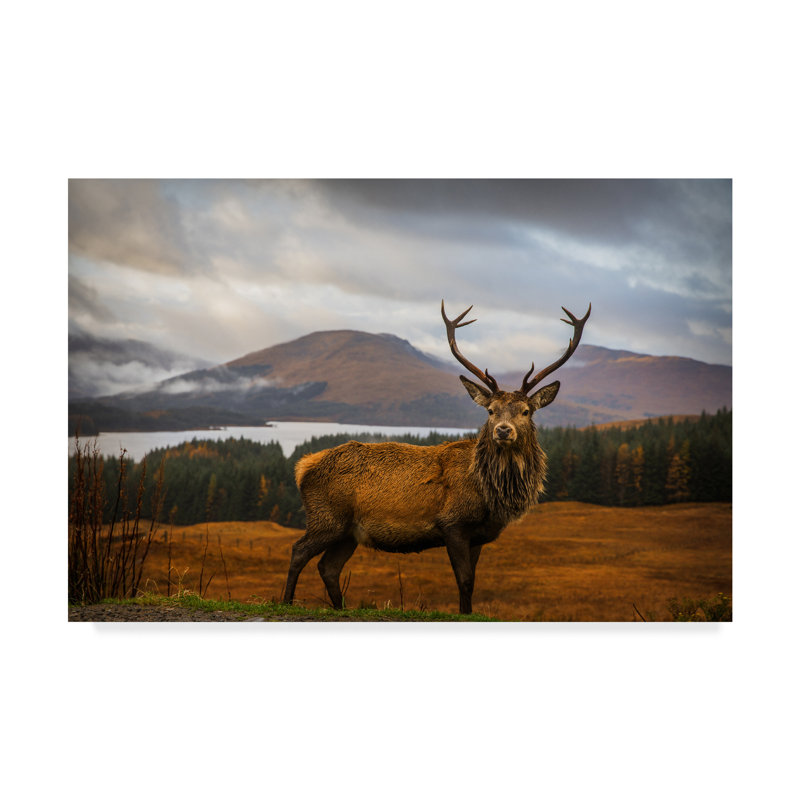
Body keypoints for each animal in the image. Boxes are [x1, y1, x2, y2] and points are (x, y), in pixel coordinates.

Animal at [282, 300, 591, 615]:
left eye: (526, 411)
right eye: (490, 410)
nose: (503, 430)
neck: (490, 495)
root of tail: (303, 466)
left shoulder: (478, 536)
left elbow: (472, 581)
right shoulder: (452, 523)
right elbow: (464, 581)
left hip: (348, 532)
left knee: (328, 567)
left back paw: (340, 608)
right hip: (327, 517)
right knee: (298, 551)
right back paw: (285, 601)